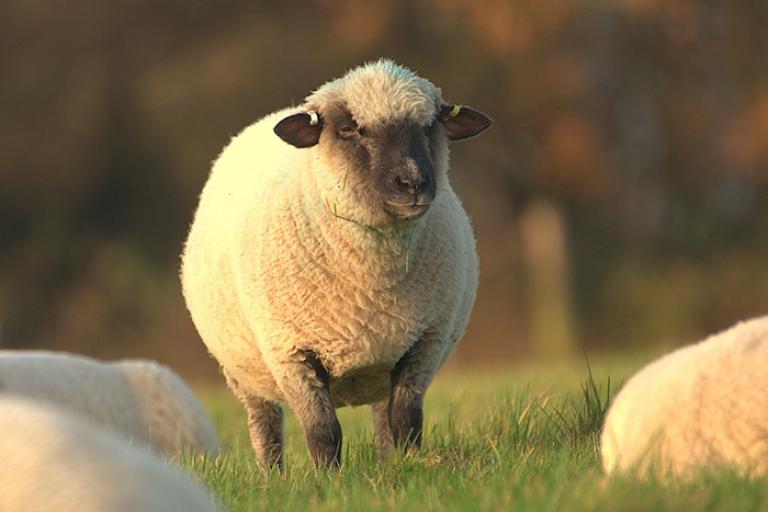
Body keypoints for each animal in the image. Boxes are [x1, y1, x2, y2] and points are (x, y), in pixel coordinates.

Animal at [181, 59, 492, 469]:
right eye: (350, 129)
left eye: (429, 126)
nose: (413, 183)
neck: (371, 278)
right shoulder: (290, 352)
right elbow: (322, 430)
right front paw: (329, 476)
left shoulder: (425, 341)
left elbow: (405, 419)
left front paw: (407, 466)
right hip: (243, 372)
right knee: (264, 425)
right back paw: (272, 476)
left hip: (383, 358)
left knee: (383, 419)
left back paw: (386, 465)